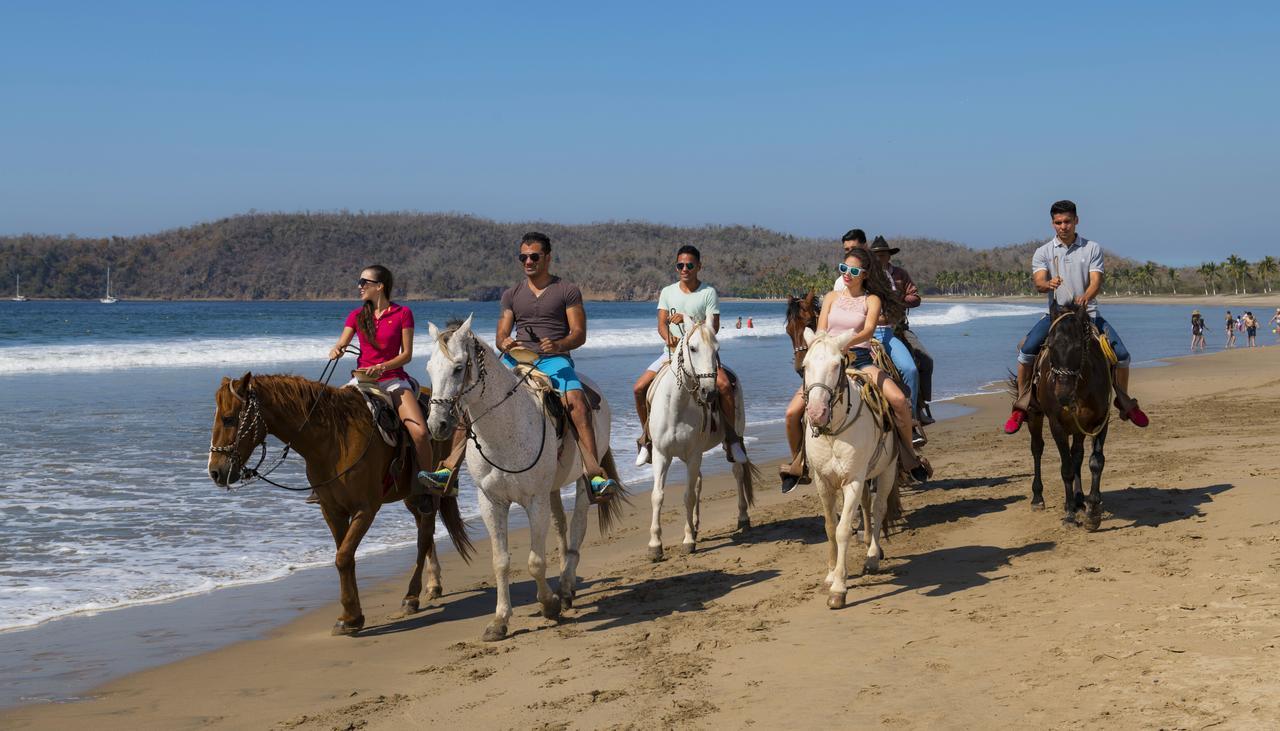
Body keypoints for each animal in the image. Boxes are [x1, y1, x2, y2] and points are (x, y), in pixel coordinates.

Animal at [207, 371, 473, 634]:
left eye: (229, 419)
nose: (215, 472)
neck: (333, 441)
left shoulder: (365, 509)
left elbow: (343, 557)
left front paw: (350, 618)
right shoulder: (332, 511)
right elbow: (345, 557)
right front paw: (352, 615)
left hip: (429, 491)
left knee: (424, 535)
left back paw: (411, 597)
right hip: (410, 496)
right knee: (424, 533)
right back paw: (433, 585)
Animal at [424, 317, 624, 642]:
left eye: (458, 367)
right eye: (429, 368)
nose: (437, 424)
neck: (504, 430)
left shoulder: (534, 500)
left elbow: (535, 561)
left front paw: (549, 605)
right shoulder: (491, 502)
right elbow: (501, 562)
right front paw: (499, 621)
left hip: (581, 480)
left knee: (578, 527)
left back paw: (565, 587)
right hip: (552, 489)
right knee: (561, 525)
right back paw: (565, 586)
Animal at [645, 318, 752, 560]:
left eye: (717, 350)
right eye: (692, 348)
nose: (709, 393)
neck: (676, 407)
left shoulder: (693, 455)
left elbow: (688, 496)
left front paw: (688, 540)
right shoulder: (661, 454)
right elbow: (657, 495)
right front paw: (655, 545)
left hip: (732, 439)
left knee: (737, 472)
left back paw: (742, 517)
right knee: (700, 482)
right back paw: (695, 523)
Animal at [798, 327, 901, 609]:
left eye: (836, 365)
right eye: (804, 366)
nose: (817, 413)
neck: (833, 433)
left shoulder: (853, 480)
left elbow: (843, 529)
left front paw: (839, 588)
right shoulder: (824, 481)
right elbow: (830, 527)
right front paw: (831, 573)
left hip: (887, 470)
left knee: (879, 508)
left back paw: (872, 556)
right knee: (866, 505)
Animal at [1018, 303, 1111, 532]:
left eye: (1078, 348)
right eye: (1050, 347)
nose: (1062, 395)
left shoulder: (1100, 421)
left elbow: (1096, 462)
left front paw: (1092, 512)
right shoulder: (1057, 424)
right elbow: (1066, 469)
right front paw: (1069, 514)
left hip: (1078, 427)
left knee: (1077, 454)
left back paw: (1079, 499)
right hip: (1034, 414)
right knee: (1037, 448)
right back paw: (1038, 497)